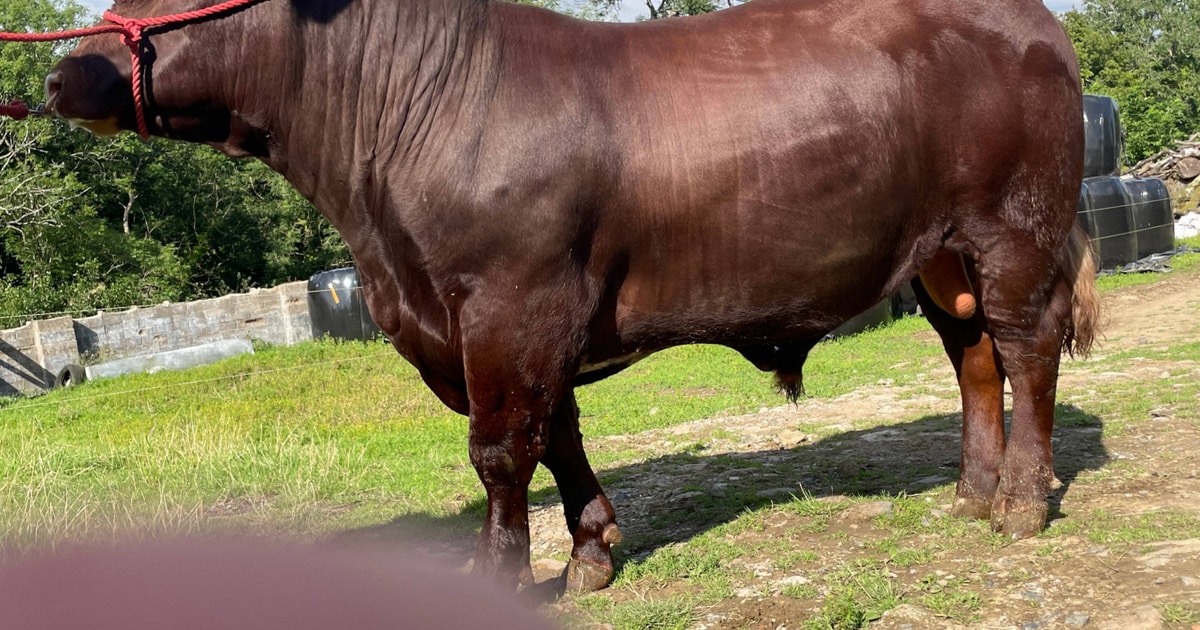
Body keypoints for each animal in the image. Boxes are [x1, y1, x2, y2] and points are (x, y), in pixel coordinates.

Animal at [45, 0, 1099, 591]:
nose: (59, 72)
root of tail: (1036, 20)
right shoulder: (509, 321)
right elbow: (556, 436)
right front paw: (591, 551)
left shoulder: (512, 302)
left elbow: (502, 450)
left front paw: (501, 574)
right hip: (939, 255)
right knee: (973, 356)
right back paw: (971, 492)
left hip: (1013, 227)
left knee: (1027, 345)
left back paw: (1019, 503)